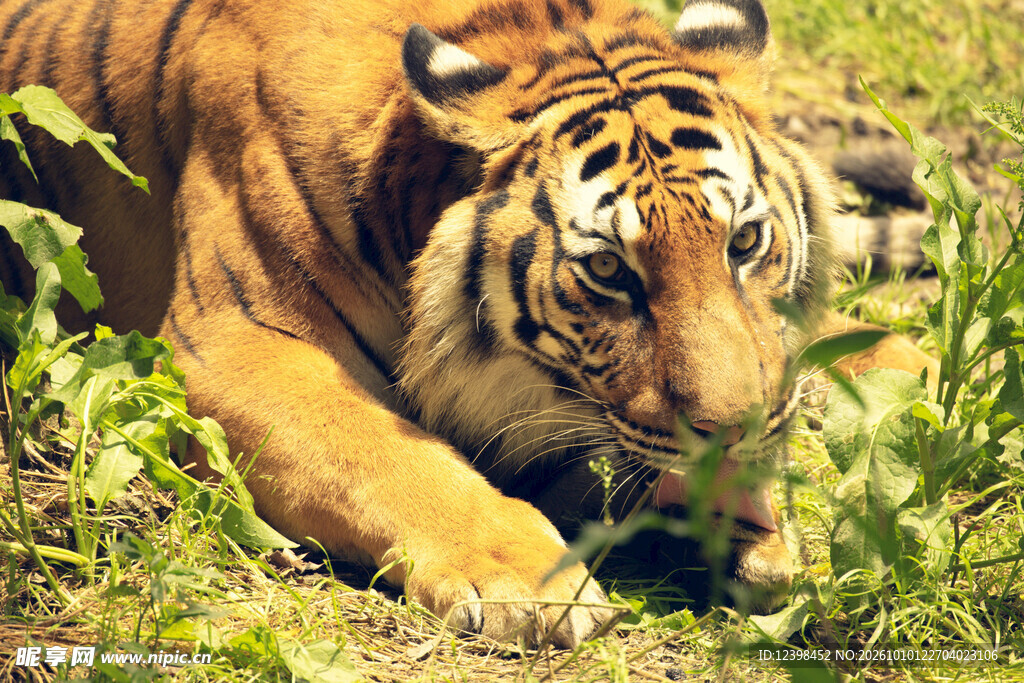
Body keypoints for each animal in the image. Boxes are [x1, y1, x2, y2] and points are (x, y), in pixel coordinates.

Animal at [0, 0, 935, 647]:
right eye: (608, 271)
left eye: (744, 242)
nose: (736, 431)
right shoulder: (234, 346)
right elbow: (388, 460)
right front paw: (533, 581)